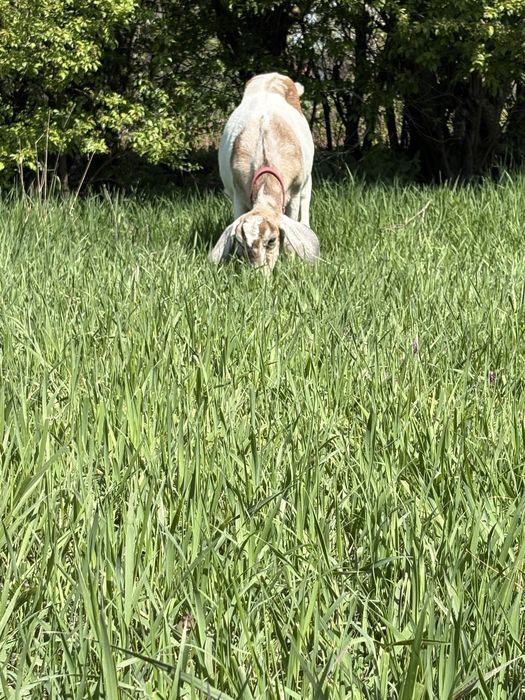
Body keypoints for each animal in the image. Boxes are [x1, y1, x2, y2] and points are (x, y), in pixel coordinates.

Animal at [209, 72, 320, 272]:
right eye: (240, 241)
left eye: (272, 240)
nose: (259, 273)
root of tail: (273, 75)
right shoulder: (238, 194)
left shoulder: (294, 191)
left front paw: (290, 259)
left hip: (307, 181)